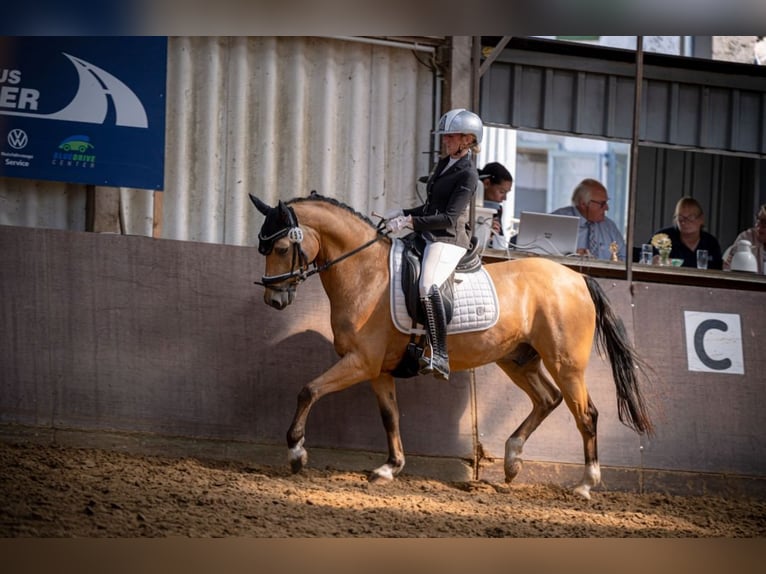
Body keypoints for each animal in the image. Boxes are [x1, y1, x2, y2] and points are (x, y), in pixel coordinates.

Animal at [250, 192, 656, 500]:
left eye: (282, 247)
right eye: (262, 248)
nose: (274, 300)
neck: (367, 274)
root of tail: (577, 278)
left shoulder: (360, 362)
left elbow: (309, 390)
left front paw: (296, 452)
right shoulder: (378, 369)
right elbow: (389, 415)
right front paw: (389, 467)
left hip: (566, 363)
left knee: (585, 414)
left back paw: (585, 485)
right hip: (518, 359)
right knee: (547, 399)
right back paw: (512, 460)